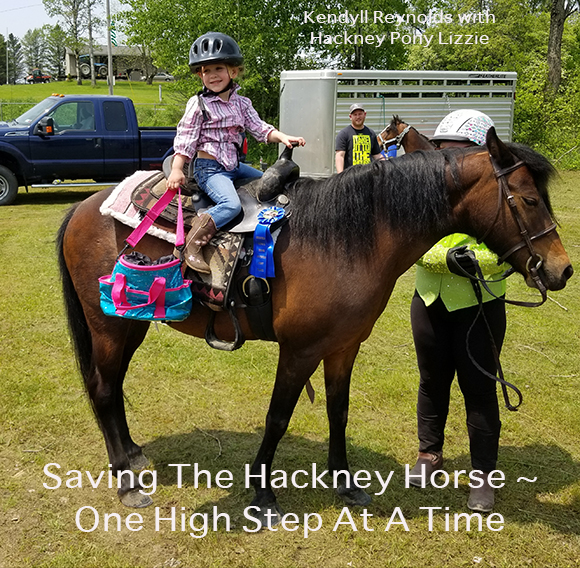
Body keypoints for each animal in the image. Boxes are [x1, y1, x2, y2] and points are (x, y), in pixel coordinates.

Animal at [56, 129, 572, 524]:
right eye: (528, 199)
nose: (561, 270)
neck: (350, 239)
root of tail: (84, 208)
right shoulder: (299, 350)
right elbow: (278, 417)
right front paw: (263, 494)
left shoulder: (343, 346)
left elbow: (337, 412)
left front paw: (344, 482)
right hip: (110, 327)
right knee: (103, 388)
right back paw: (126, 482)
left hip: (131, 326)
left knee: (113, 387)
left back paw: (132, 455)